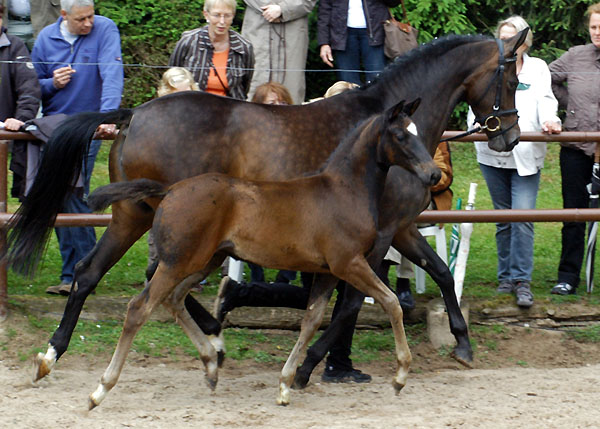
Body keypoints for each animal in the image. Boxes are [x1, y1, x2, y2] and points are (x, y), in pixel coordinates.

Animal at [85, 98, 440, 406]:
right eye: (400, 135)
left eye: (418, 131)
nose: (433, 174)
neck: (343, 190)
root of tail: (169, 190)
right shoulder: (349, 263)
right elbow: (391, 302)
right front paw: (400, 376)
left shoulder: (327, 272)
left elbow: (311, 320)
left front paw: (285, 384)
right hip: (178, 262)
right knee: (139, 307)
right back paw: (100, 389)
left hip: (204, 261)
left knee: (173, 300)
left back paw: (211, 366)